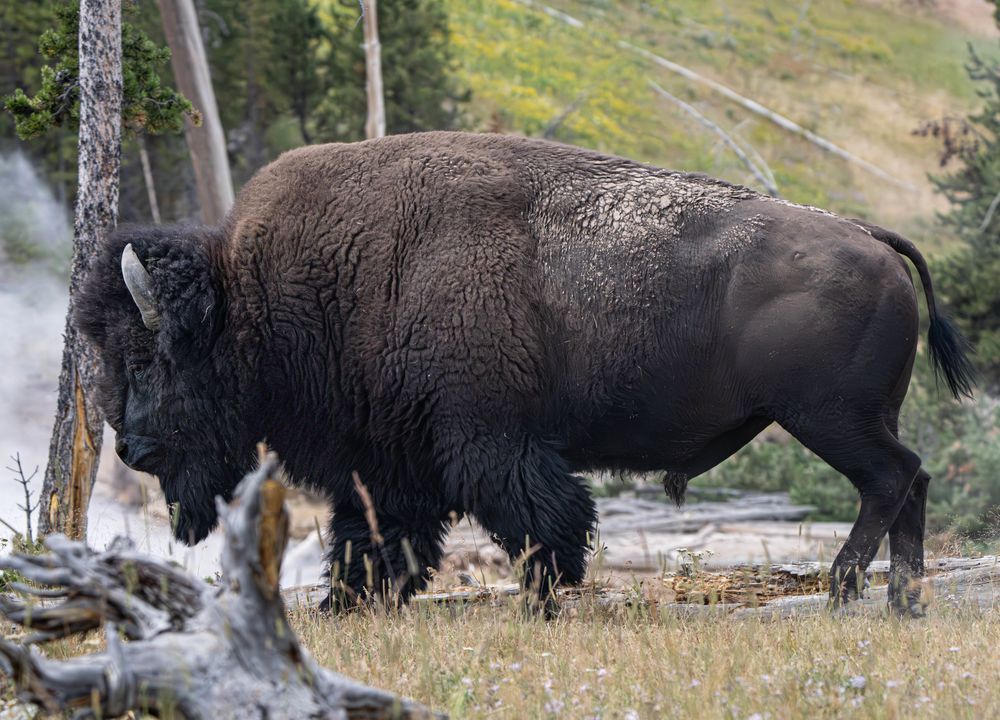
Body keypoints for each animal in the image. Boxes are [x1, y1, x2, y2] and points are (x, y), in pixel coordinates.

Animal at [76, 132, 974, 614]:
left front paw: (547, 599)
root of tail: (870, 235)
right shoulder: (391, 461)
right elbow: (375, 538)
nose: (130, 449)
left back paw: (845, 590)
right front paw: (348, 604)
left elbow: (539, 522)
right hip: (852, 418)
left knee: (890, 479)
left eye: (150, 354)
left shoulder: (486, 444)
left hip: (828, 418)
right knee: (913, 480)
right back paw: (902, 602)